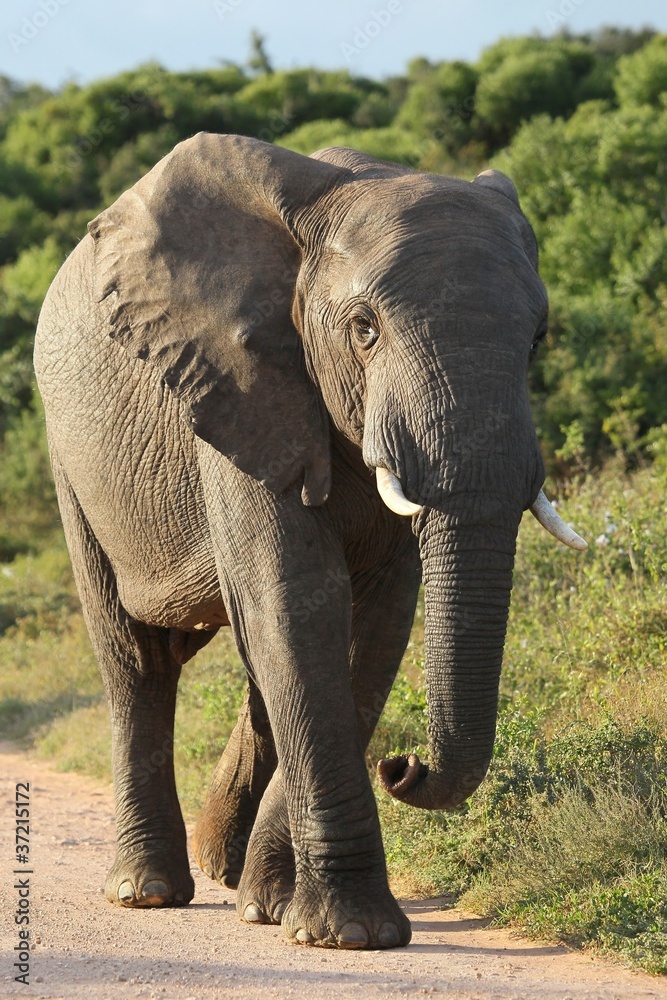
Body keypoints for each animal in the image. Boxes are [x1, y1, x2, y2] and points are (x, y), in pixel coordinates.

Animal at [34, 133, 586, 950]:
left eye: (536, 341)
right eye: (364, 329)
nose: (402, 765)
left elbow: (372, 626)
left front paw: (282, 910)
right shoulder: (237, 386)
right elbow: (299, 607)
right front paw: (351, 935)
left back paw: (233, 877)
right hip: (71, 460)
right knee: (138, 659)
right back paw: (148, 891)